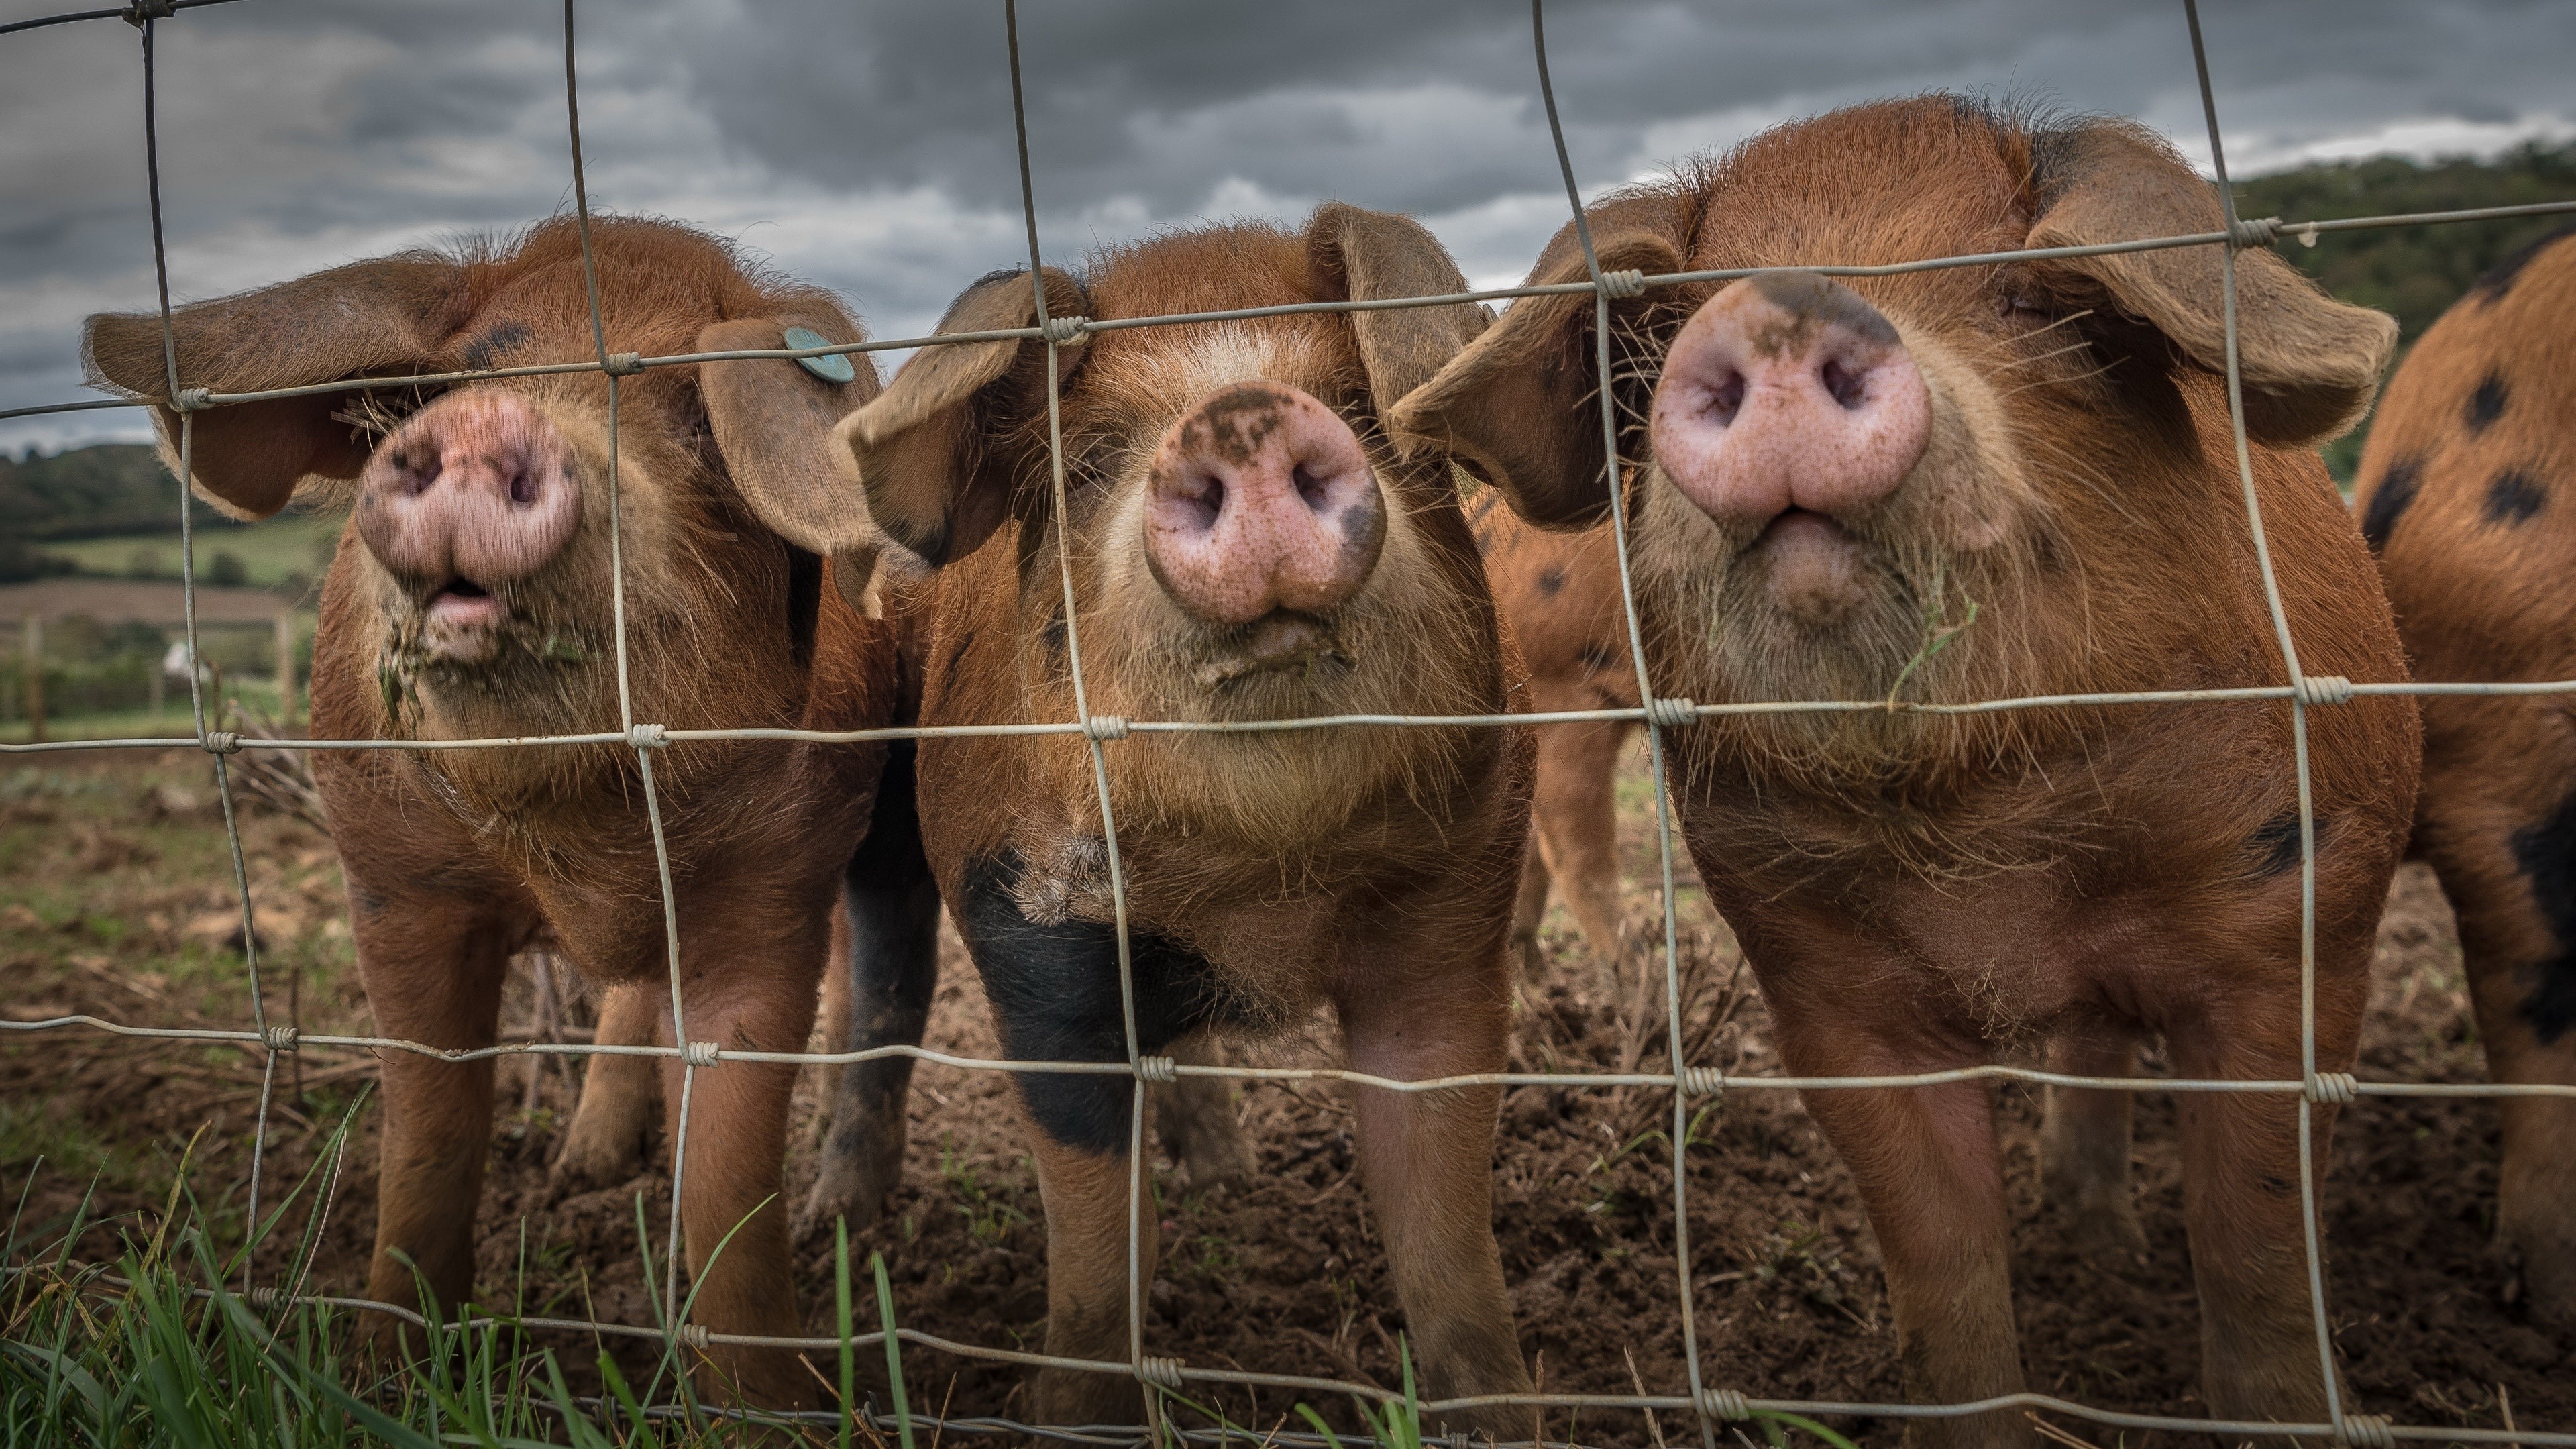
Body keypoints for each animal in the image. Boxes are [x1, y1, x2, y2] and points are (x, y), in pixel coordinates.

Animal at [84, 216, 899, 1407]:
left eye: (698, 417)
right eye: (452, 385)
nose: (484, 425)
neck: (575, 836)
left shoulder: (776, 890)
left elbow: (730, 1181)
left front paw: (783, 1413)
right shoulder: (392, 883)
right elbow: (428, 1132)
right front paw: (385, 1375)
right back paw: (583, 1162)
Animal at [825, 205, 1536, 1431]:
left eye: (1360, 411)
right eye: (1091, 459)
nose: (1242, 413)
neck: (1266, 893)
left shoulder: (1455, 926)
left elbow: (1443, 1237)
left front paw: (1494, 1417)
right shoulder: (1030, 943)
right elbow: (1095, 1249)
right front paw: (1074, 1420)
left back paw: (1222, 1174)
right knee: (883, 977)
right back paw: (834, 1224)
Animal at [1391, 99, 2421, 1446]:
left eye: (2032, 298)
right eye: (1666, 324)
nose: (1774, 311)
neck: (1986, 838)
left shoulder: (2301, 922)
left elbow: (2256, 1250)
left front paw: (2284, 1408)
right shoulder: (1825, 993)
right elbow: (1942, 1274)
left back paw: (2103, 1244)